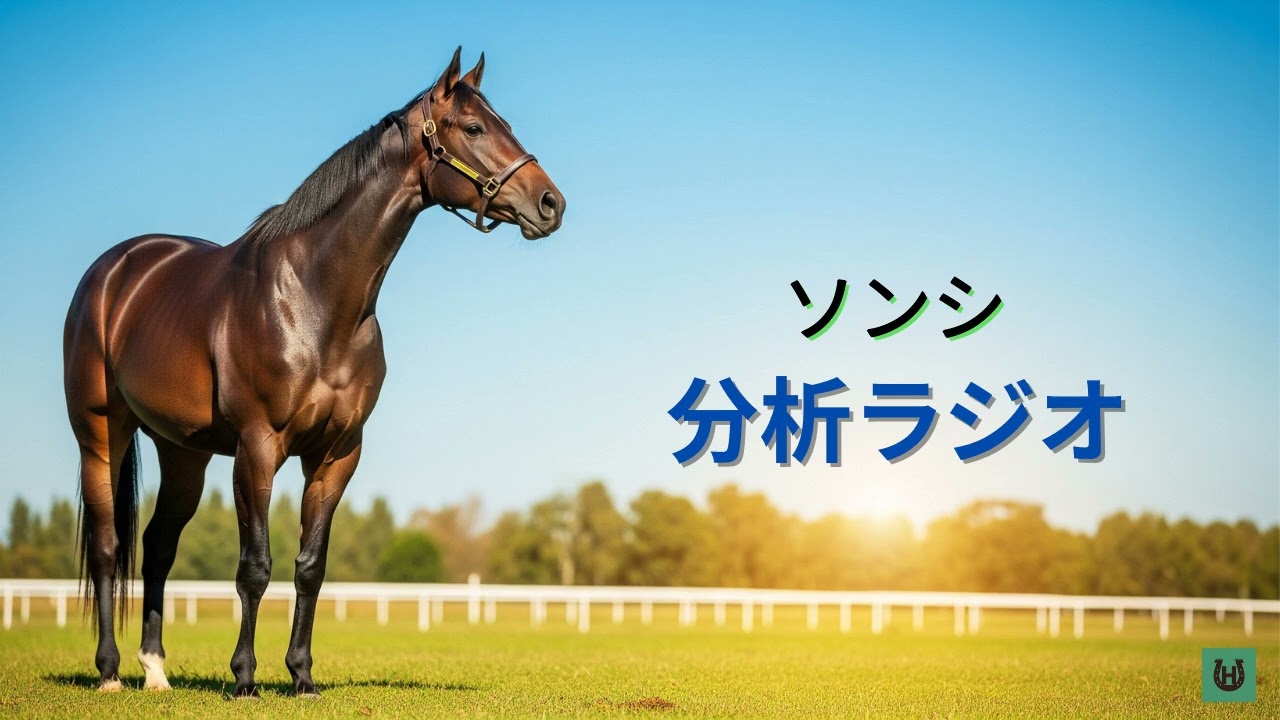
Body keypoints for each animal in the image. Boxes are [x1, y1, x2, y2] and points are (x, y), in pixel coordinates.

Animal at [62, 47, 564, 698]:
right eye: (475, 128)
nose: (551, 203)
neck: (315, 299)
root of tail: (113, 271)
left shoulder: (336, 455)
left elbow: (310, 567)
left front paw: (301, 675)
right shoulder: (257, 449)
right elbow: (255, 568)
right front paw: (245, 678)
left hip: (184, 453)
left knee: (157, 548)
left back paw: (155, 670)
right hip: (101, 435)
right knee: (107, 547)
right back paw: (109, 672)